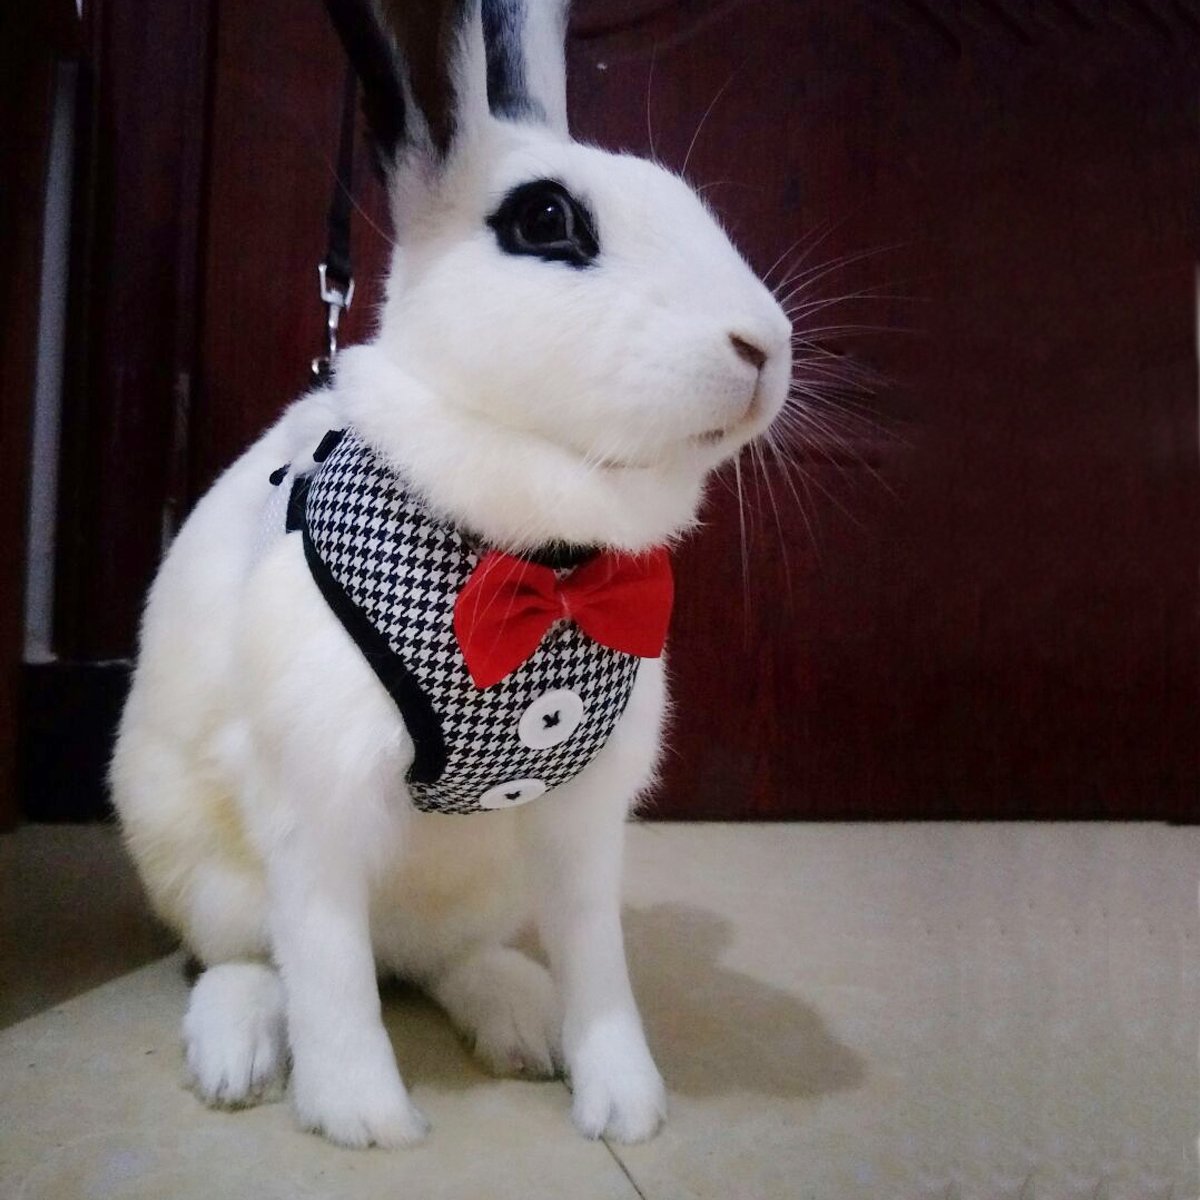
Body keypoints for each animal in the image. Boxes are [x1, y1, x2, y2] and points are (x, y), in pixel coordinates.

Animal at [110, 0, 792, 1150]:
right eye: (547, 220)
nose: (766, 347)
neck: (542, 563)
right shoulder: (316, 790)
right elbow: (328, 964)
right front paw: (363, 1118)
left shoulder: (581, 816)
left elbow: (598, 956)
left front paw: (625, 1106)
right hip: (202, 868)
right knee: (260, 958)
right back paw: (240, 1053)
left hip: (480, 886)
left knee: (439, 962)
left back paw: (524, 1023)